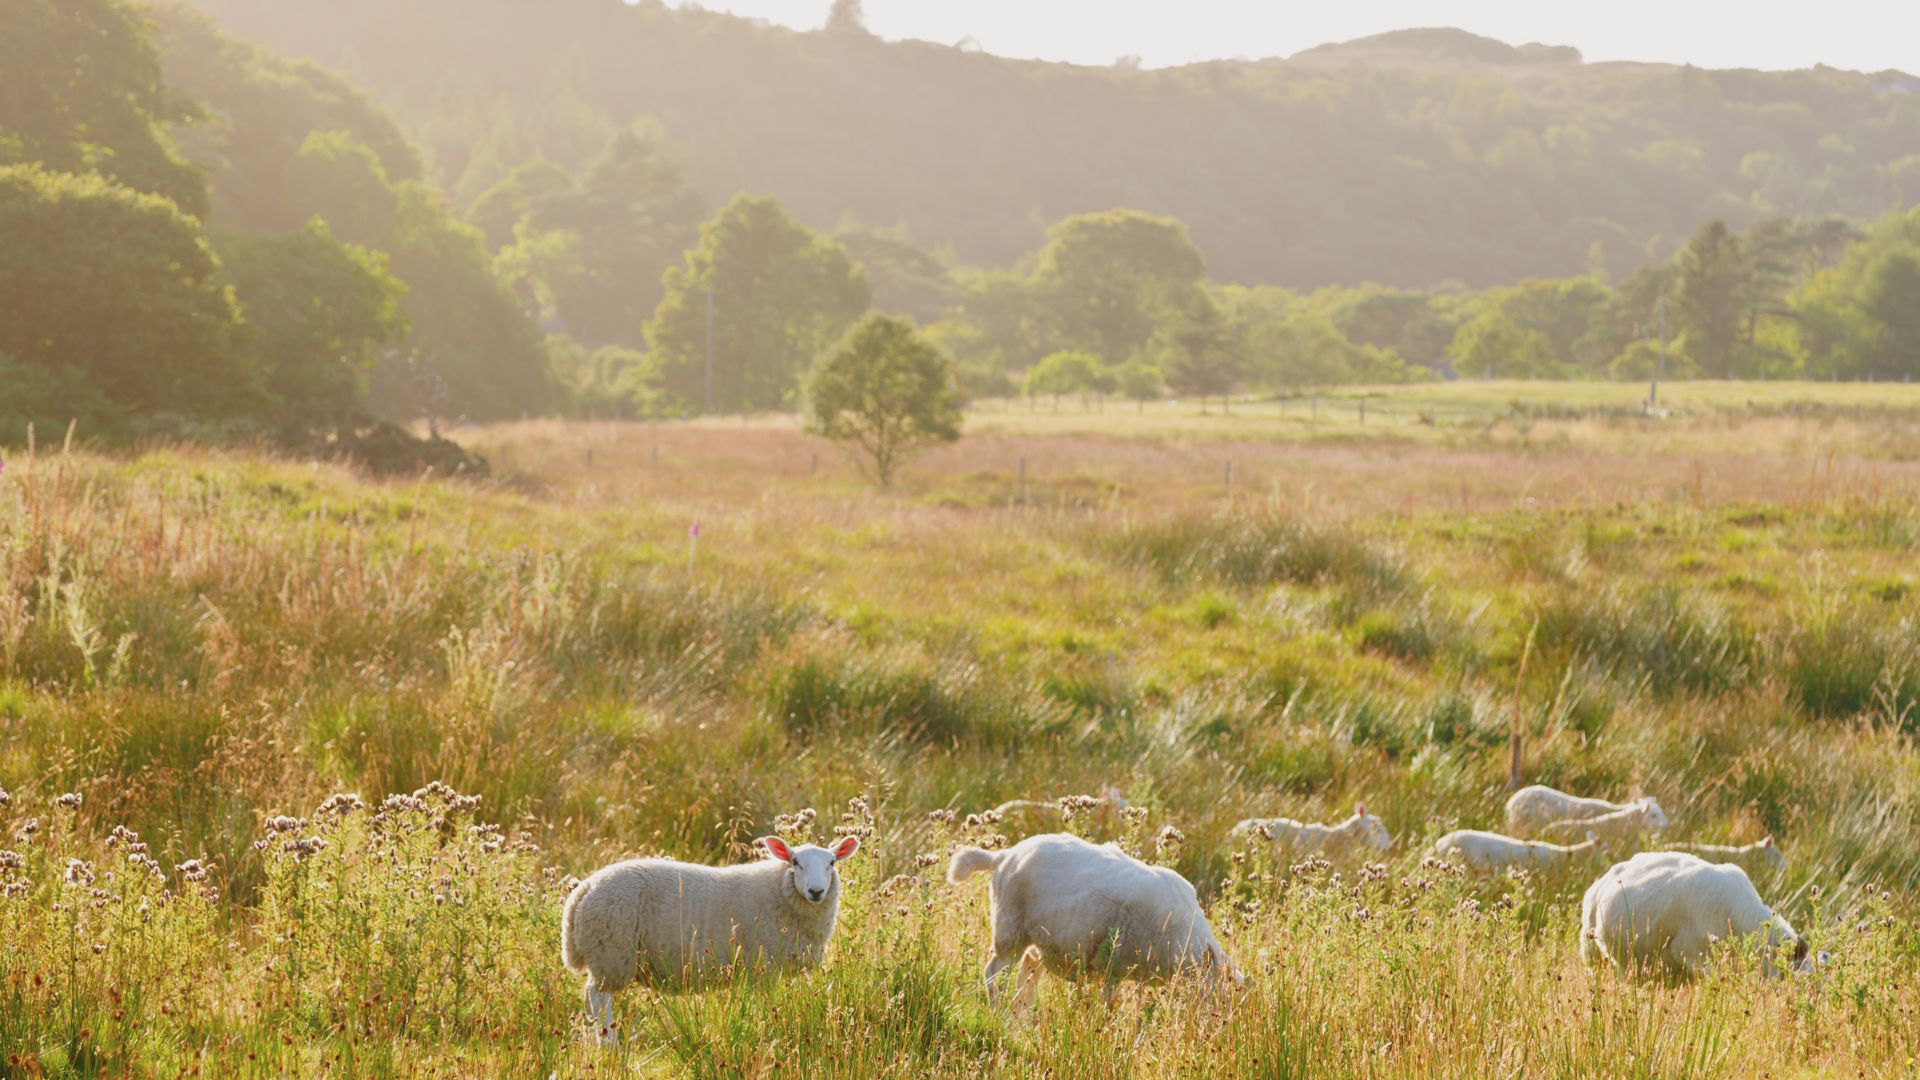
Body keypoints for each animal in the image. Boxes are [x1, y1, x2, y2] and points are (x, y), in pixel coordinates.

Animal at [561, 834, 859, 1044]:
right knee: (598, 999)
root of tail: (583, 891)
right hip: (611, 952)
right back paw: (608, 1044)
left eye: (832, 863)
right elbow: (768, 1006)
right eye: (796, 862)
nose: (816, 891)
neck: (781, 892)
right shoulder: (765, 967)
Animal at [947, 832, 1233, 1008]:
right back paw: (1000, 1013)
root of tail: (1005, 855)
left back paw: (1021, 1019)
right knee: (994, 974)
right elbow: (1109, 1006)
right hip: (1009, 929)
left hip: (1036, 940)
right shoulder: (1111, 966)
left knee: (1025, 980)